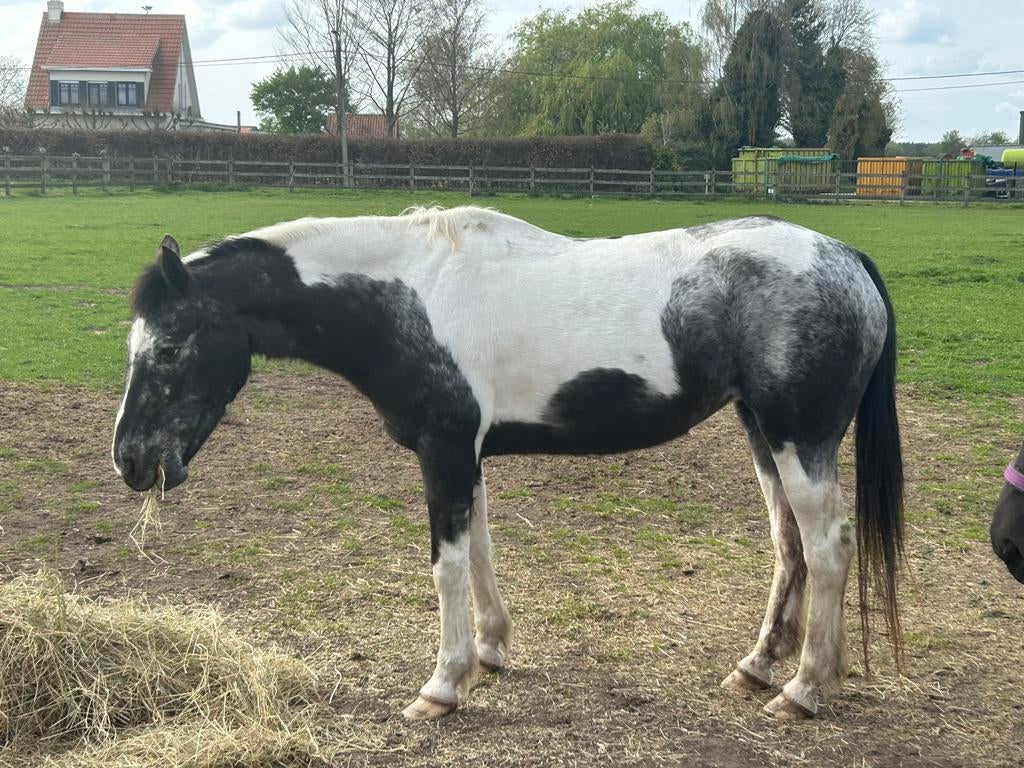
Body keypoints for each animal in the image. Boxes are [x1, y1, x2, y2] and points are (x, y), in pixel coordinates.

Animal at [111, 206, 905, 722]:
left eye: (170, 347)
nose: (130, 460)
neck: (408, 296)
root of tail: (846, 257)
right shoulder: (467, 456)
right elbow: (482, 552)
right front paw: (490, 652)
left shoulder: (444, 451)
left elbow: (448, 566)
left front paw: (441, 686)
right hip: (762, 434)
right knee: (789, 546)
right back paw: (757, 668)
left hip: (800, 440)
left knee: (828, 549)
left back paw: (804, 691)